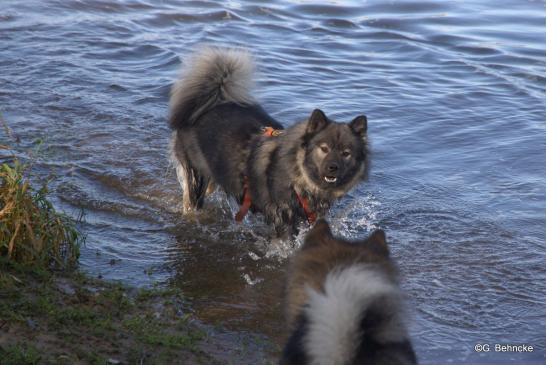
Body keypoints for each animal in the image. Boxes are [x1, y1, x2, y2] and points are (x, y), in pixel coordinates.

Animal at [168, 47, 368, 236]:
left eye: (346, 153)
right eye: (324, 148)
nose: (333, 167)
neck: (299, 175)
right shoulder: (283, 218)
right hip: (196, 179)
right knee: (191, 200)